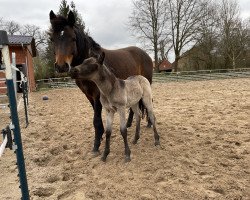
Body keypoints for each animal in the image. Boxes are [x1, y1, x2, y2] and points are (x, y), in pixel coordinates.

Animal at [48, 10, 152, 155]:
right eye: (53, 39)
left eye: (72, 38)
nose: (61, 66)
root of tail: (146, 55)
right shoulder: (89, 95)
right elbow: (97, 119)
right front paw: (101, 136)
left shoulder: (97, 94)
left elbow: (96, 120)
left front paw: (96, 145)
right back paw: (129, 123)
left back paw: (149, 124)